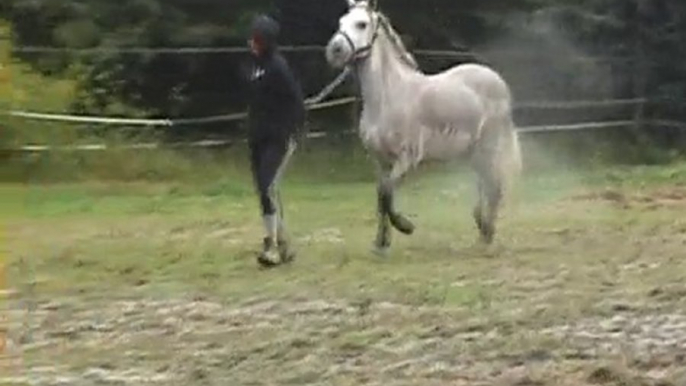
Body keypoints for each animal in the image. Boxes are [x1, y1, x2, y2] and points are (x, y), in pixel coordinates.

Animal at [326, 0, 520, 252]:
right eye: (341, 22)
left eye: (362, 24)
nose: (334, 50)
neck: (388, 97)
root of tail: (497, 80)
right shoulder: (379, 161)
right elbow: (380, 197)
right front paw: (381, 243)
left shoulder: (406, 158)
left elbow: (387, 195)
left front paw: (405, 227)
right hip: (473, 152)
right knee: (484, 185)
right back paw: (482, 229)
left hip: (489, 146)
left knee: (494, 187)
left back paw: (487, 235)